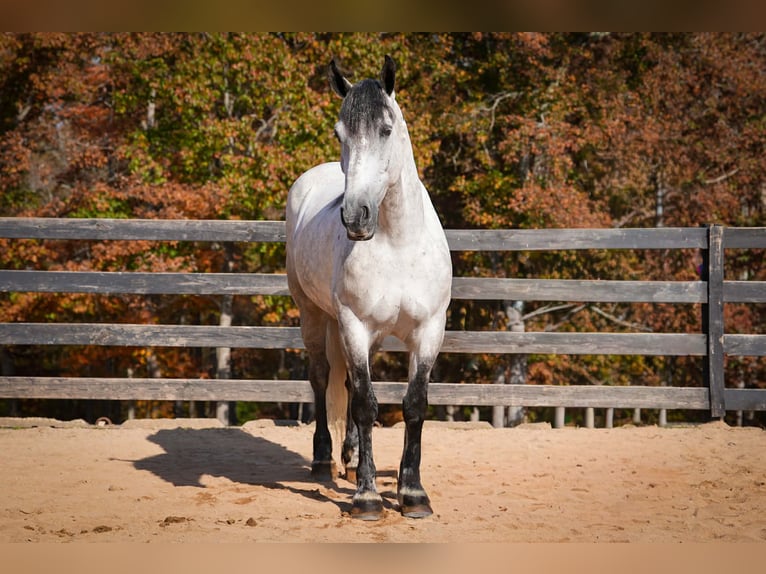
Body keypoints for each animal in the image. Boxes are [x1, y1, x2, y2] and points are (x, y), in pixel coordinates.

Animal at [285, 55, 452, 520]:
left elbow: (412, 405)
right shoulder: (354, 325)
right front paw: (366, 497)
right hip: (313, 315)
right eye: (339, 133)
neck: (397, 244)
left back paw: (351, 457)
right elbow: (363, 403)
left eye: (386, 128)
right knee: (323, 378)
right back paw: (324, 459)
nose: (355, 215)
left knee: (345, 385)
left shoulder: (429, 330)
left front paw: (413, 493)